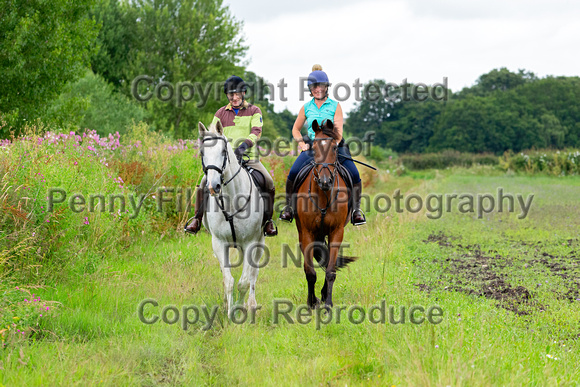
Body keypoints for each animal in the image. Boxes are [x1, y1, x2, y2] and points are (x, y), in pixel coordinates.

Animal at [198, 121, 264, 318]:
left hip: (260, 242)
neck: (232, 201)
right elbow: (228, 281)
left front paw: (240, 311)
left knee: (253, 274)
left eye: (223, 151)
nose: (213, 186)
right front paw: (229, 312)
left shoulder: (250, 242)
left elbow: (243, 282)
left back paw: (252, 304)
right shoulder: (219, 243)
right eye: (202, 153)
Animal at [294, 119, 358, 310]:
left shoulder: (336, 231)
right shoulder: (307, 232)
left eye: (335, 148)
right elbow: (310, 272)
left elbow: (330, 269)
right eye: (313, 148)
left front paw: (327, 303)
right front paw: (311, 302)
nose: (325, 181)